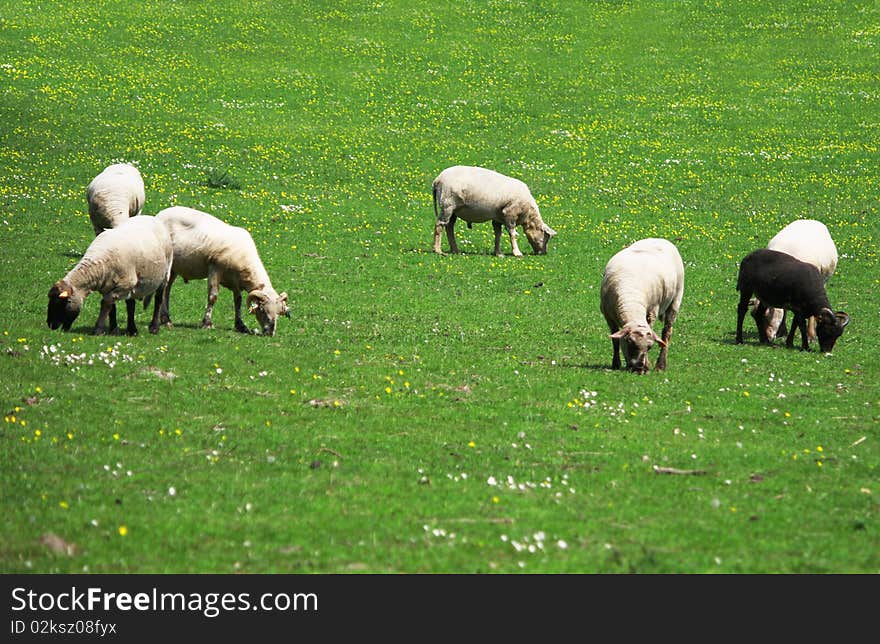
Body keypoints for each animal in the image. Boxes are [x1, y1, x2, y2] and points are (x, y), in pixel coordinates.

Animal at [152, 206, 288, 338]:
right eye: (263, 310)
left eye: (279, 312)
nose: (270, 332)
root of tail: (160, 214)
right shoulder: (215, 269)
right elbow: (213, 297)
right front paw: (207, 323)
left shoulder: (235, 280)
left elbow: (238, 301)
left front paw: (240, 325)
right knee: (164, 288)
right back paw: (167, 320)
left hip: (175, 267)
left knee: (167, 289)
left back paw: (165, 319)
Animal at [600, 238, 688, 372]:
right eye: (630, 342)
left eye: (649, 347)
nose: (639, 368)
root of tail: (662, 239)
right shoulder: (607, 315)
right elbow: (615, 340)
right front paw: (616, 364)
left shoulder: (652, 311)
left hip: (676, 300)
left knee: (667, 333)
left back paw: (660, 366)